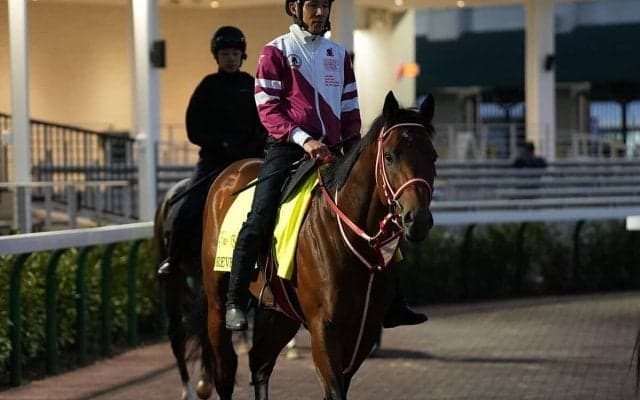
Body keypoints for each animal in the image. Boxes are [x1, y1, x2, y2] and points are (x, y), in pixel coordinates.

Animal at [199, 90, 437, 400]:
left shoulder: (364, 329)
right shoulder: (323, 327)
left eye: (433, 156)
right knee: (225, 373)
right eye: (389, 156)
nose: (416, 219)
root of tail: (229, 172)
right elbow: (334, 389)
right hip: (217, 304)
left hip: (281, 311)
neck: (350, 241)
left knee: (259, 363)